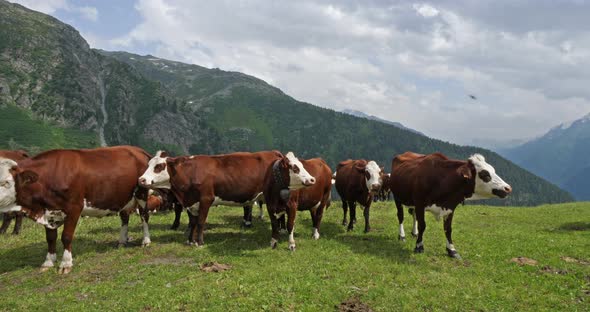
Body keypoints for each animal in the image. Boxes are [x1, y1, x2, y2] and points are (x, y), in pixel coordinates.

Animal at [0, 146, 154, 272]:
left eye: (6, 182)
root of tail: (137, 150)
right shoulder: (49, 211)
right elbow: (50, 238)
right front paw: (48, 261)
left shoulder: (74, 208)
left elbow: (66, 237)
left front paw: (66, 263)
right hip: (122, 196)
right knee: (124, 216)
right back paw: (122, 241)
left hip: (142, 192)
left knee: (144, 216)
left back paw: (146, 240)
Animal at [139, 150, 316, 247]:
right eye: (148, 164)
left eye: (159, 166)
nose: (141, 179)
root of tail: (274, 153)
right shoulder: (191, 202)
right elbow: (192, 221)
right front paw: (190, 240)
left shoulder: (206, 198)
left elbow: (201, 221)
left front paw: (199, 242)